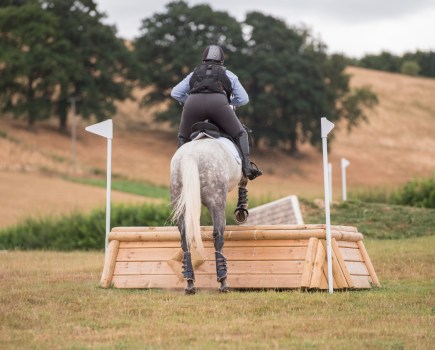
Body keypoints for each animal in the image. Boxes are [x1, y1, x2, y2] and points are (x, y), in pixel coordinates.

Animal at [169, 135, 247, 294]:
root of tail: (191, 155)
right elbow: (244, 179)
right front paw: (241, 211)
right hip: (217, 201)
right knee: (218, 236)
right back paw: (223, 282)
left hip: (180, 200)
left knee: (185, 239)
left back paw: (190, 283)